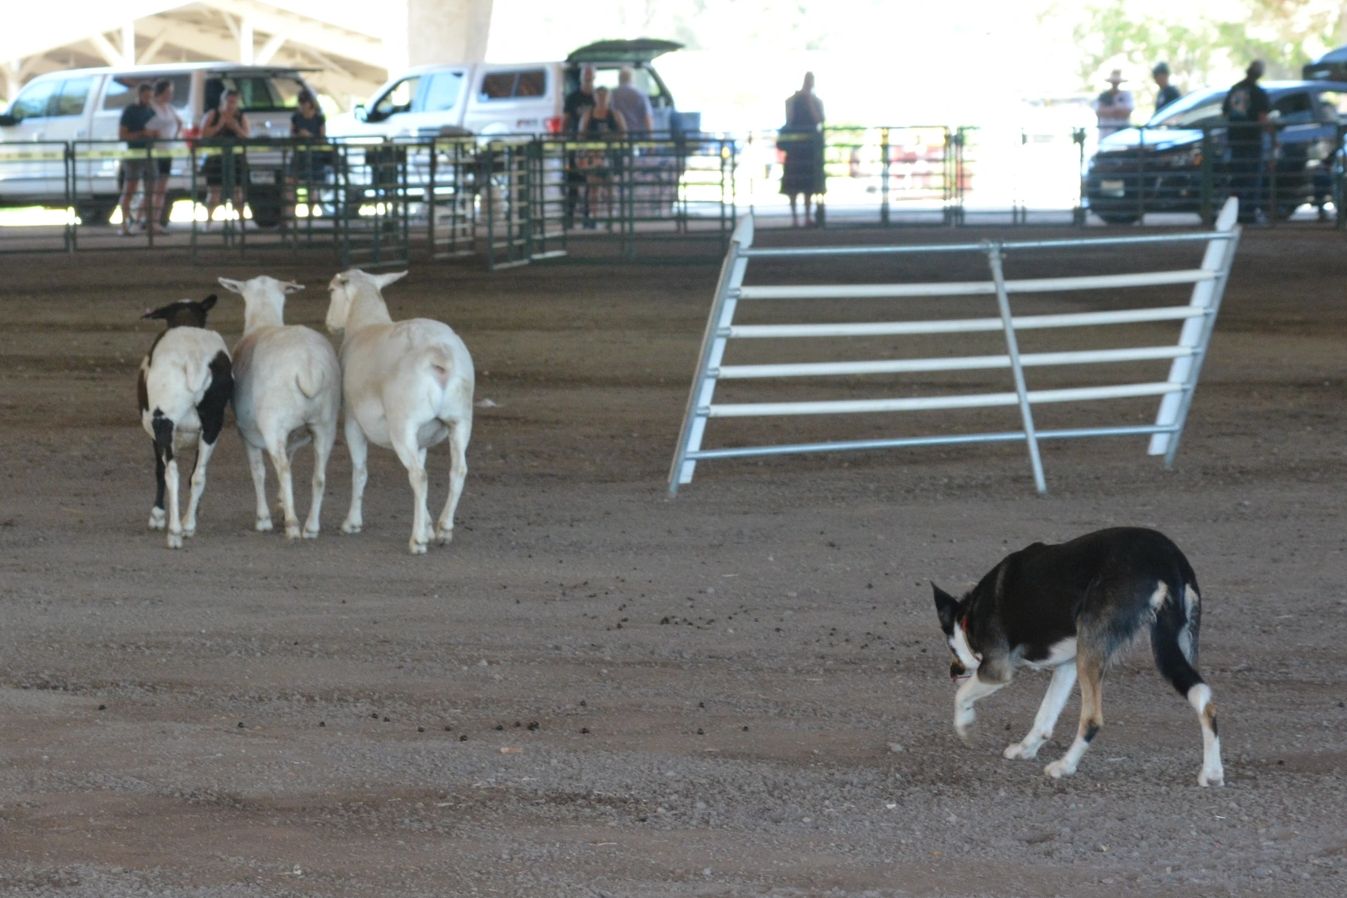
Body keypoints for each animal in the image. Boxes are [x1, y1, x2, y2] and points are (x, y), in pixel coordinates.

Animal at [138, 294, 233, 549]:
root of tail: (194, 359)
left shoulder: (155, 433)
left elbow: (160, 470)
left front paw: (157, 516)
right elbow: (193, 475)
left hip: (163, 421)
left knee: (171, 473)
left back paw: (174, 532)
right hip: (213, 423)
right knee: (198, 475)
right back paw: (188, 525)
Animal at [216, 274, 339, 541]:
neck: (263, 321)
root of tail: (308, 366)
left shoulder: (247, 432)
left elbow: (258, 472)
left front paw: (263, 519)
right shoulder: (292, 436)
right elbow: (289, 462)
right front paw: (281, 506)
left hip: (273, 423)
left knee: (283, 471)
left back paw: (293, 526)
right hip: (325, 424)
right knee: (319, 477)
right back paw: (310, 527)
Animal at [323, 266, 476, 554]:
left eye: (331, 291)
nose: (329, 324)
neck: (365, 323)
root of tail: (440, 355)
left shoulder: (353, 421)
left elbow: (359, 471)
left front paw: (352, 522)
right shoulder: (423, 436)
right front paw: (428, 525)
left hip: (402, 425)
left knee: (418, 476)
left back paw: (417, 541)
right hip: (460, 420)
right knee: (458, 470)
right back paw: (444, 529)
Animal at [932, 530, 1228, 780]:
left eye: (951, 648)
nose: (952, 673)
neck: (969, 615)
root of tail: (1166, 561)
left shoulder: (996, 670)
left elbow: (961, 697)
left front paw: (966, 727)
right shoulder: (1068, 665)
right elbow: (1045, 715)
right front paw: (1026, 749)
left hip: (1096, 656)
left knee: (1092, 720)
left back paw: (1065, 766)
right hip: (1177, 645)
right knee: (1205, 701)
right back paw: (1212, 773)